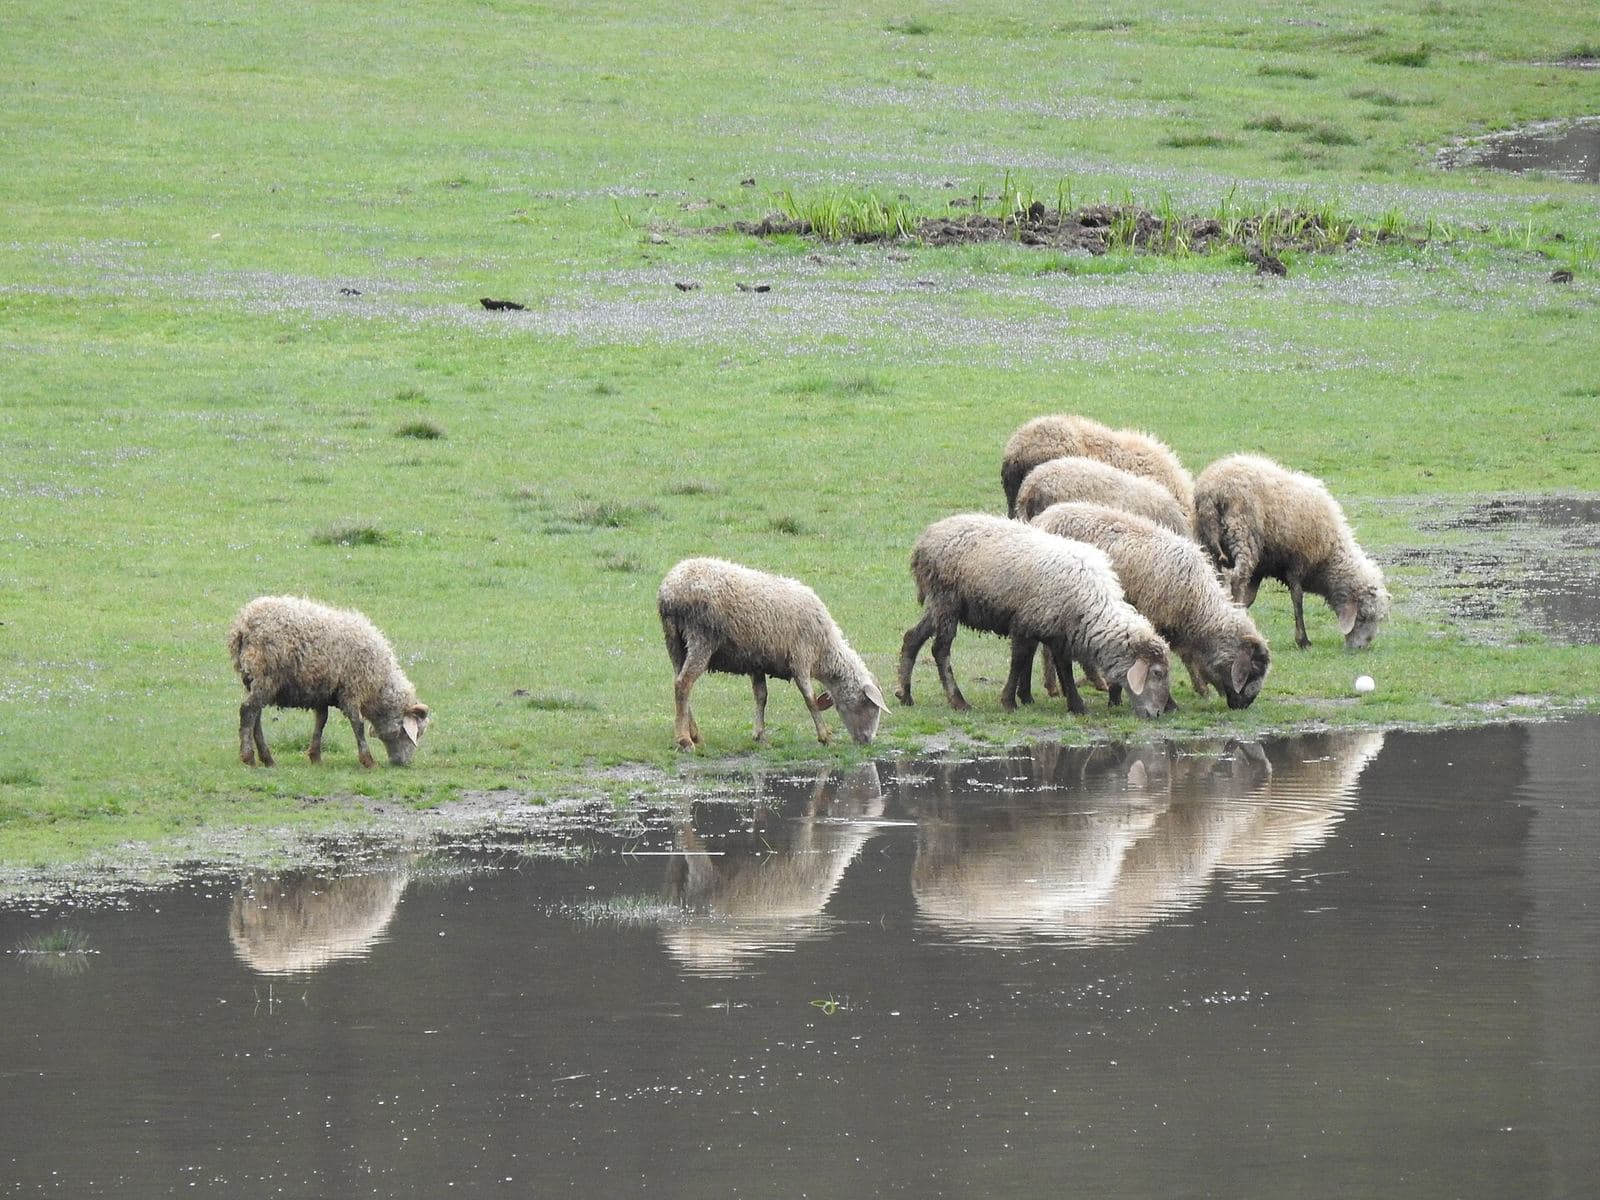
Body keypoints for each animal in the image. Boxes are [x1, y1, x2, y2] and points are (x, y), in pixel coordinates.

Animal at [228, 595, 431, 768]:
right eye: (410, 733)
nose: (403, 763)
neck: (378, 687)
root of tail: (243, 625)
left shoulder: (323, 691)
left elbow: (321, 721)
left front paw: (316, 757)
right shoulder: (352, 689)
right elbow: (357, 725)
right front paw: (368, 760)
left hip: (253, 679)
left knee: (255, 717)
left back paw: (267, 759)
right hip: (266, 676)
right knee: (248, 711)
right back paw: (249, 757)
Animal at [657, 557, 887, 750]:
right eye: (871, 706)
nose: (867, 741)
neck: (825, 650)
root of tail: (670, 590)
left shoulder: (756, 661)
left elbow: (761, 696)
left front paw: (760, 735)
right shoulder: (801, 657)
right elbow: (810, 699)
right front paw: (825, 737)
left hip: (675, 641)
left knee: (679, 683)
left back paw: (694, 734)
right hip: (701, 637)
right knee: (684, 684)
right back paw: (685, 740)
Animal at [896, 512, 1173, 719]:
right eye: (1157, 673)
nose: (1158, 714)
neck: (1091, 604)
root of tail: (924, 541)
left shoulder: (1057, 630)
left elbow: (1063, 667)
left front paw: (1076, 705)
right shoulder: (1025, 621)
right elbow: (1020, 660)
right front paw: (1009, 701)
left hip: (939, 603)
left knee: (912, 637)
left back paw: (905, 695)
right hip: (947, 600)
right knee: (940, 649)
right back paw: (957, 700)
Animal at [1194, 453, 1391, 649]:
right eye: (1363, 616)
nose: (1359, 648)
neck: (1329, 556)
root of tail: (1212, 491)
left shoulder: (1261, 569)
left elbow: (1250, 598)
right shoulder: (1297, 562)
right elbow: (1297, 600)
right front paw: (1303, 640)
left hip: (1208, 543)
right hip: (1242, 533)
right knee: (1237, 578)